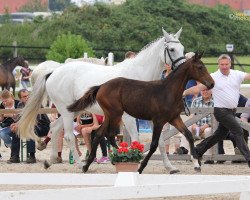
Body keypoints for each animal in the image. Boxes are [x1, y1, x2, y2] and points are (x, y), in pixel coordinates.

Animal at [18, 27, 186, 173]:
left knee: (54, 127)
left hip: (74, 110)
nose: (182, 68)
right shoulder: (129, 117)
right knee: (68, 136)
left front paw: (170, 167)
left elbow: (161, 142)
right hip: (66, 111)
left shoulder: (153, 117)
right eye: (172, 49)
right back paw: (81, 165)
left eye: (183, 48)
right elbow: (136, 139)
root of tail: (53, 72)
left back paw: (51, 161)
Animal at [67, 52, 214, 173]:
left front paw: (196, 164)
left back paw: (86, 166)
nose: (212, 84)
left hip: (109, 115)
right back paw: (121, 156)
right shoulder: (158, 121)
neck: (168, 91)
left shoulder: (174, 118)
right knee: (110, 135)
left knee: (99, 134)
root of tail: (101, 86)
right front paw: (141, 167)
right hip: (116, 114)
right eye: (200, 67)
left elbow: (189, 135)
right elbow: (154, 144)